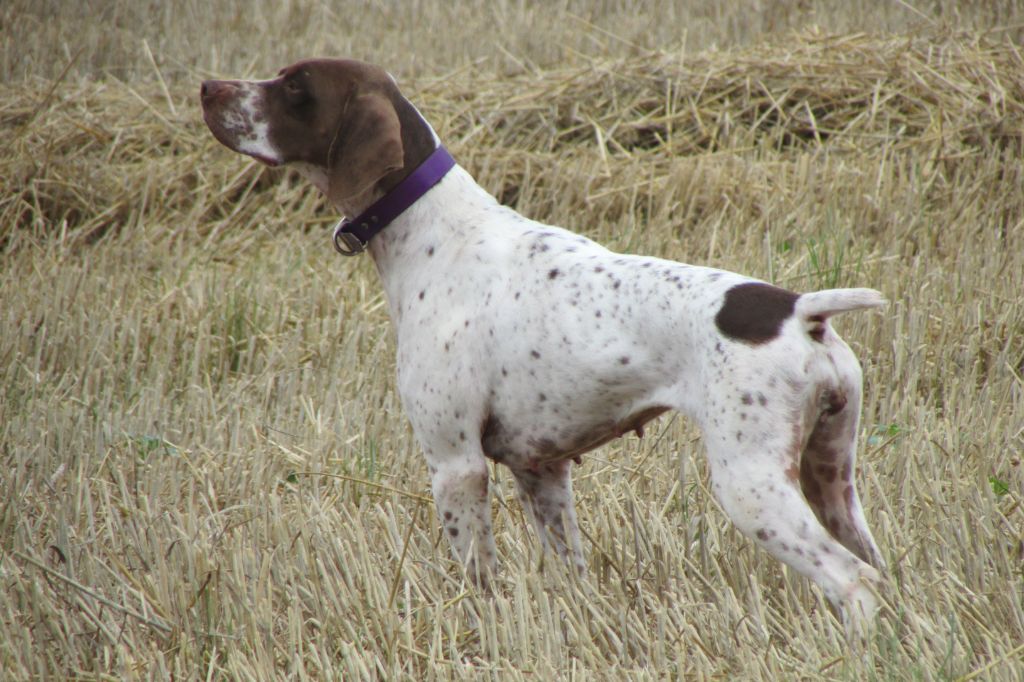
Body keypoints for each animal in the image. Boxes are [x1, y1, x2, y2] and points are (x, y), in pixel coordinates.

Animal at [201, 58, 888, 630]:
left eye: (295, 86)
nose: (208, 88)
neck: (435, 231)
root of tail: (801, 312)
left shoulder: (456, 466)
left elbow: (478, 580)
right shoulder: (542, 470)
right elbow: (570, 572)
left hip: (750, 483)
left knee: (852, 580)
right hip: (831, 477)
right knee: (877, 566)